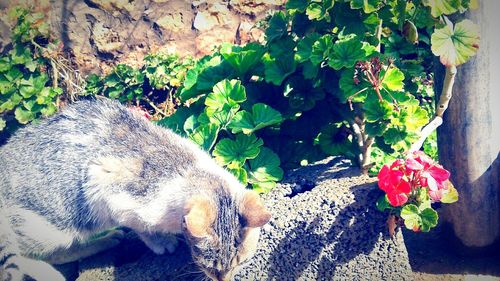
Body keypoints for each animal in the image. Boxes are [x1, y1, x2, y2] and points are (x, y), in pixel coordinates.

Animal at [0, 99, 270, 280]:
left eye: (242, 262)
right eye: (211, 267)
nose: (225, 279)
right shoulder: (108, 187)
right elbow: (142, 228)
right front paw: (162, 242)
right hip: (46, 230)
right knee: (36, 256)